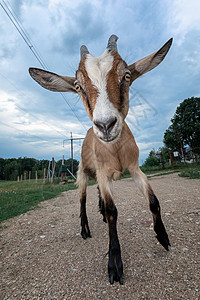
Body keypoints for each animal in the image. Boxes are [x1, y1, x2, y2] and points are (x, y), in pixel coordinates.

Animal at [28, 35, 173, 284]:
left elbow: (153, 201)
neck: (114, 151)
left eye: (126, 75)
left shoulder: (134, 169)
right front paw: (114, 264)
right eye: (78, 86)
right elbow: (113, 210)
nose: (105, 125)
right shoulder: (104, 173)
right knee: (82, 198)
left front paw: (163, 237)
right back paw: (85, 228)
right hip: (82, 173)